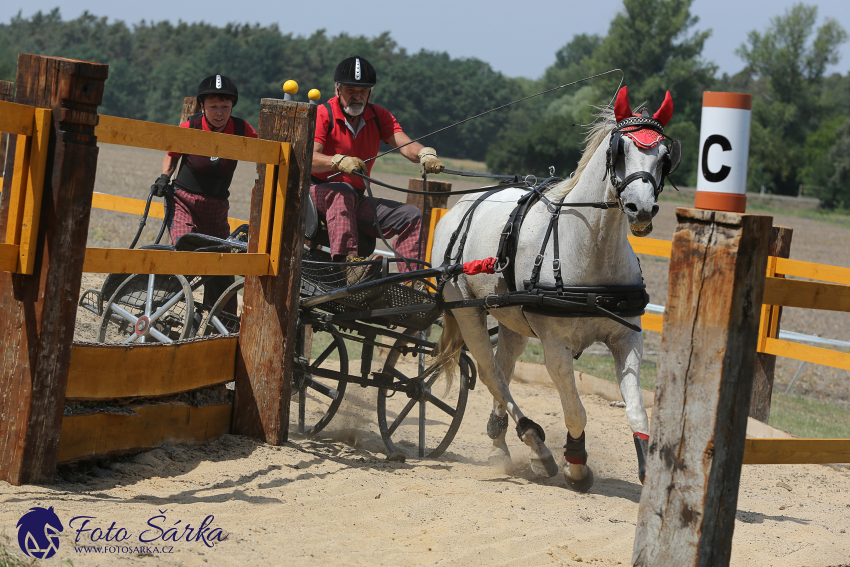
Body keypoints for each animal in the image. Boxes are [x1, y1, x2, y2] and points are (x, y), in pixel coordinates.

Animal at [430, 86, 676, 490]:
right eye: (619, 150)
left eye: (665, 156)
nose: (641, 209)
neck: (591, 251)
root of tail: (461, 205)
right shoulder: (555, 348)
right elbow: (576, 412)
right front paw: (576, 465)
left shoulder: (627, 339)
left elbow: (638, 411)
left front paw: (648, 468)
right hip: (467, 311)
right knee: (490, 372)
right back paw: (535, 444)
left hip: (512, 319)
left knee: (504, 367)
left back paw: (500, 442)